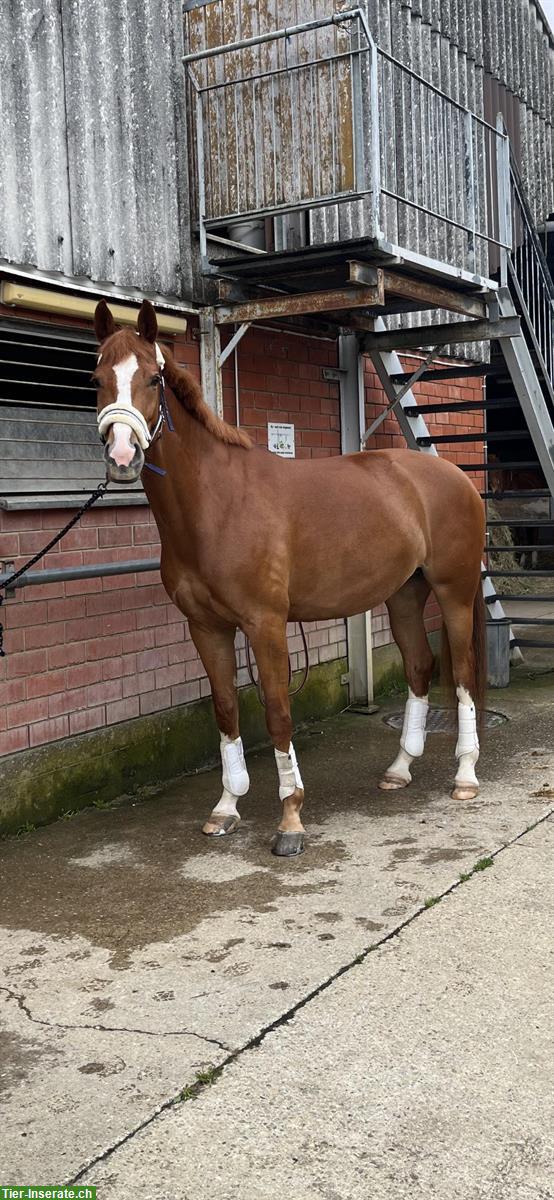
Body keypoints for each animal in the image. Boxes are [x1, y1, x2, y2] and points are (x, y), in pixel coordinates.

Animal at [92, 304, 486, 859]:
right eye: (98, 379)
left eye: (153, 377)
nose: (122, 455)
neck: (216, 505)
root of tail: (454, 478)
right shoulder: (206, 628)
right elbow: (226, 710)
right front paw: (226, 808)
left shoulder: (266, 625)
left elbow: (277, 712)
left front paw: (291, 819)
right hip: (404, 595)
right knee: (420, 666)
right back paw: (399, 768)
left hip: (454, 592)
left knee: (464, 672)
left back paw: (466, 775)